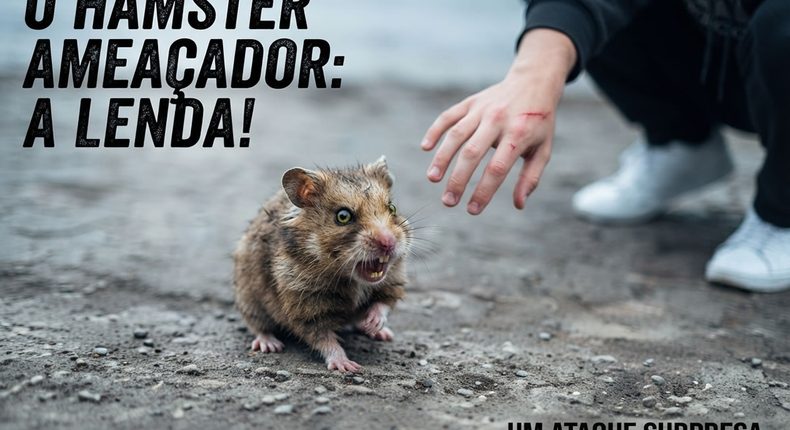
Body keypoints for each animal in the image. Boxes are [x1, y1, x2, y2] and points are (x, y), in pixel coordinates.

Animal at [233, 156, 410, 372]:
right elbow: (323, 338)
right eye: (343, 216)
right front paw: (347, 366)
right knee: (258, 326)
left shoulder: (393, 281)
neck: (350, 279)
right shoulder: (305, 305)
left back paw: (380, 333)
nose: (388, 243)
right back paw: (270, 345)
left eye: (392, 208)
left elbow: (382, 303)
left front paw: (372, 324)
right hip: (249, 299)